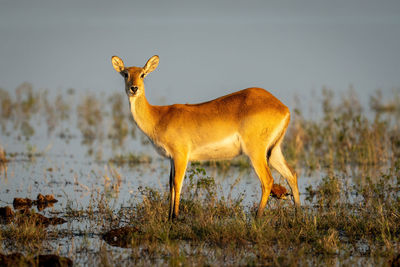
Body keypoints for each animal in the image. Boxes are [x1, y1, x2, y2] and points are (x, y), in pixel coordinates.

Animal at [111, 55, 298, 220]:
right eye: (126, 73)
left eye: (142, 74)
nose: (134, 88)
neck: (159, 117)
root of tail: (283, 107)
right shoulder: (171, 158)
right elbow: (171, 185)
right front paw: (168, 218)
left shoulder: (181, 156)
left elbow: (177, 184)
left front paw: (175, 219)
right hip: (273, 151)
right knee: (292, 174)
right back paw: (299, 218)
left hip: (255, 152)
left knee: (268, 180)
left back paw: (256, 220)